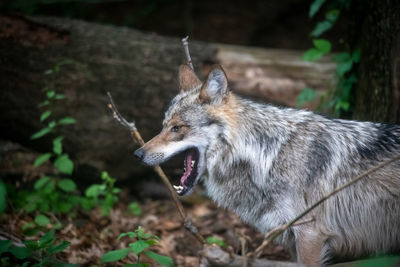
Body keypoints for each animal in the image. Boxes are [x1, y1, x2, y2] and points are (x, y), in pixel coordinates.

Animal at [134, 63, 400, 264]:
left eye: (177, 128)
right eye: (163, 126)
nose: (138, 153)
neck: (266, 155)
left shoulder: (309, 234)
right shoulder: (291, 238)